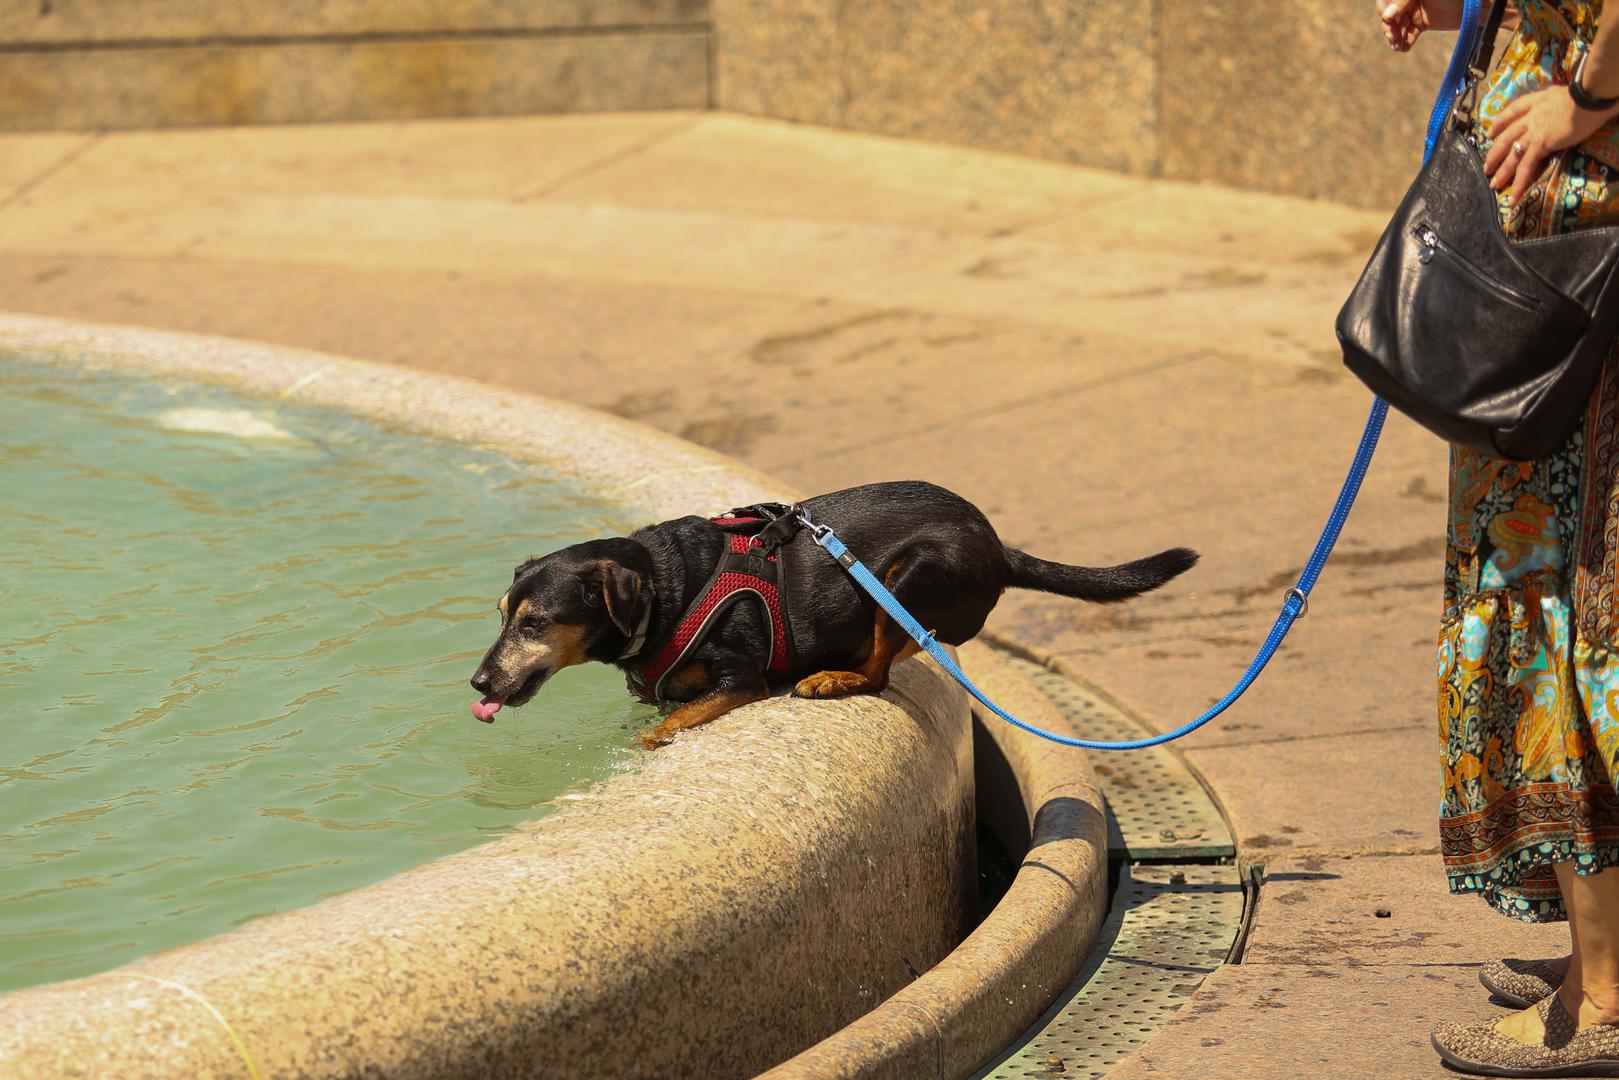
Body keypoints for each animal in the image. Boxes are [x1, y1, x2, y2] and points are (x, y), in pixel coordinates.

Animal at [469, 482, 1191, 751]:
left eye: (534, 624)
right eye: (501, 615)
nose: (477, 683)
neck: (663, 590)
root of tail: (998, 549)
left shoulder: (740, 679)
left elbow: (666, 727)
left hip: (908, 575)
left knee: (886, 664)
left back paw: (833, 676)